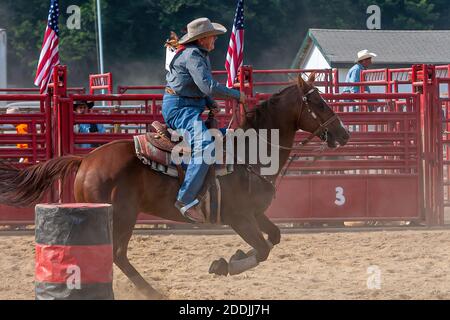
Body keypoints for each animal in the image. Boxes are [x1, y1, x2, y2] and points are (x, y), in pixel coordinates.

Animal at [0, 74, 348, 298]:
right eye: (319, 102)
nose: (343, 134)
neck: (248, 153)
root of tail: (86, 159)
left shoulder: (255, 214)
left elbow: (273, 238)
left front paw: (229, 258)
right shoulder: (238, 217)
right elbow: (262, 249)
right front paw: (224, 264)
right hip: (122, 215)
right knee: (117, 254)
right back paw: (152, 292)